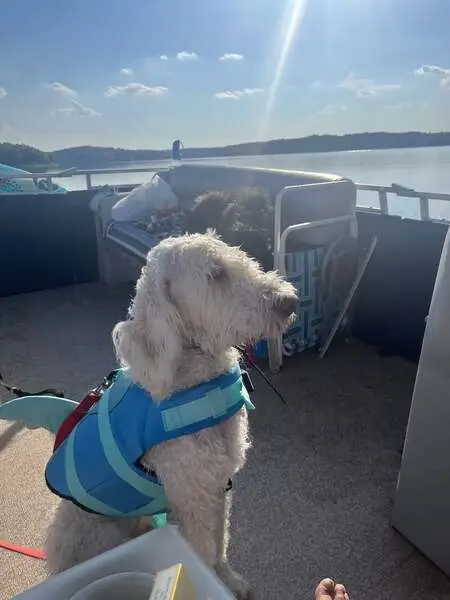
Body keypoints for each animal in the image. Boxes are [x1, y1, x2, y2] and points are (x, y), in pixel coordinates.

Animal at [44, 231, 297, 599]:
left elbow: (220, 544)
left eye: (239, 256)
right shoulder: (193, 495)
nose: (289, 301)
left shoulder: (217, 486)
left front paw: (230, 581)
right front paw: (215, 581)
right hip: (101, 532)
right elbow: (204, 553)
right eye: (215, 274)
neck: (194, 379)